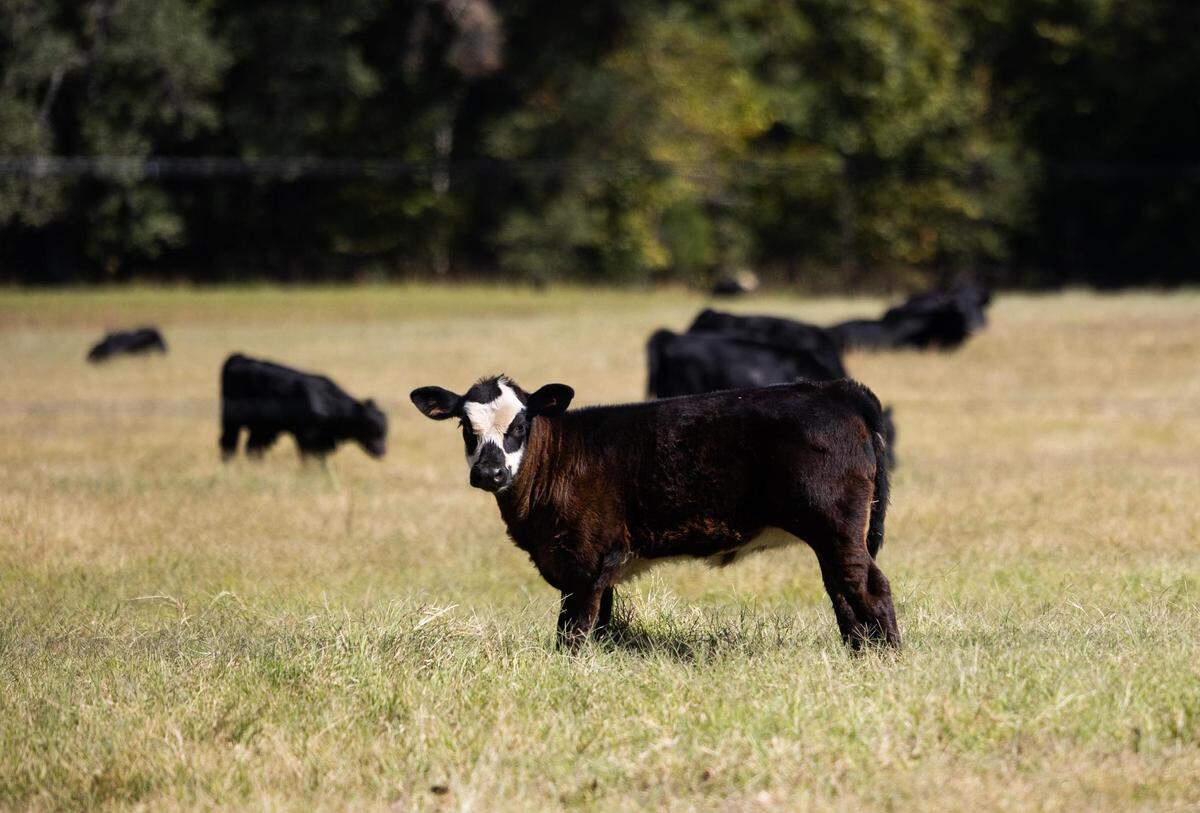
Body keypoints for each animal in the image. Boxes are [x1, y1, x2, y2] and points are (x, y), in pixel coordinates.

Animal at [219, 353, 387, 460]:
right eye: (371, 427)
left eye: (385, 431)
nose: (382, 452)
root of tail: (238, 358)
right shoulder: (306, 438)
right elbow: (308, 458)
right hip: (231, 423)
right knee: (228, 443)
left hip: (263, 428)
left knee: (253, 448)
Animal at [410, 374, 899, 651]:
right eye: (464, 426)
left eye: (520, 423)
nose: (489, 472)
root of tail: (835, 390)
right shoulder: (595, 567)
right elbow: (600, 624)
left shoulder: (584, 563)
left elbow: (573, 632)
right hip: (834, 535)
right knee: (841, 589)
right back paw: (858, 651)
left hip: (835, 525)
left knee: (869, 586)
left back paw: (888, 655)